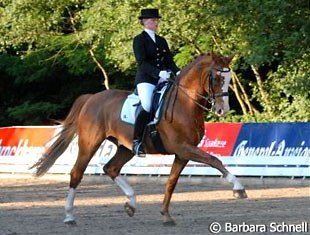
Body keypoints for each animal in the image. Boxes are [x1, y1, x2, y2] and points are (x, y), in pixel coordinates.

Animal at [29, 51, 247, 226]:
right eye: (216, 77)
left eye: (229, 78)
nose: (222, 110)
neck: (185, 104)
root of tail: (91, 98)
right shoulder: (184, 148)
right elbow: (214, 160)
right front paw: (238, 189)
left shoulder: (182, 153)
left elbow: (171, 182)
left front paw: (166, 215)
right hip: (89, 143)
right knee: (77, 173)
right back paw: (69, 217)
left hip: (125, 147)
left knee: (111, 168)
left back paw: (131, 204)